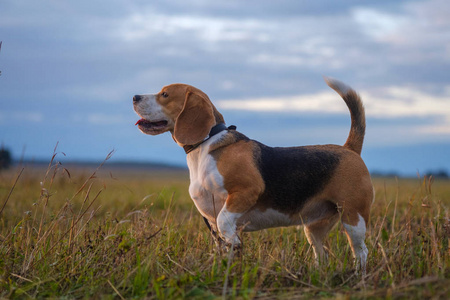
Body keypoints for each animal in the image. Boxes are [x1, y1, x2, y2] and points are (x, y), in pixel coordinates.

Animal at [133, 77, 372, 272]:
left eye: (165, 94)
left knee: (361, 251)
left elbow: (225, 221)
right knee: (322, 254)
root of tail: (349, 148)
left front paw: (235, 244)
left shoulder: (246, 192)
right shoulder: (211, 217)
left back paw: (358, 275)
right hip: (313, 228)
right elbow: (222, 243)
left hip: (353, 218)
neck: (206, 143)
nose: (135, 96)